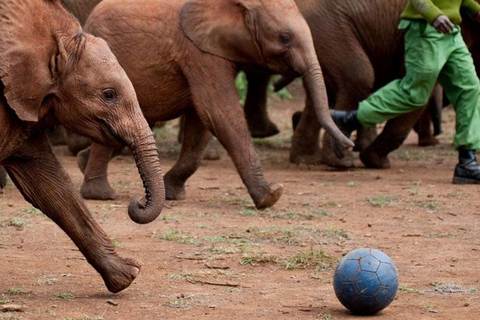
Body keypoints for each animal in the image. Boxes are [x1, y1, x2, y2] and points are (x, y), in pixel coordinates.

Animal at [77, 0, 350, 208]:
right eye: (284, 38)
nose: (346, 145)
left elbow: (202, 121)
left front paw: (172, 193)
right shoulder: (200, 54)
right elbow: (218, 113)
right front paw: (271, 196)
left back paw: (82, 162)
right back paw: (100, 194)